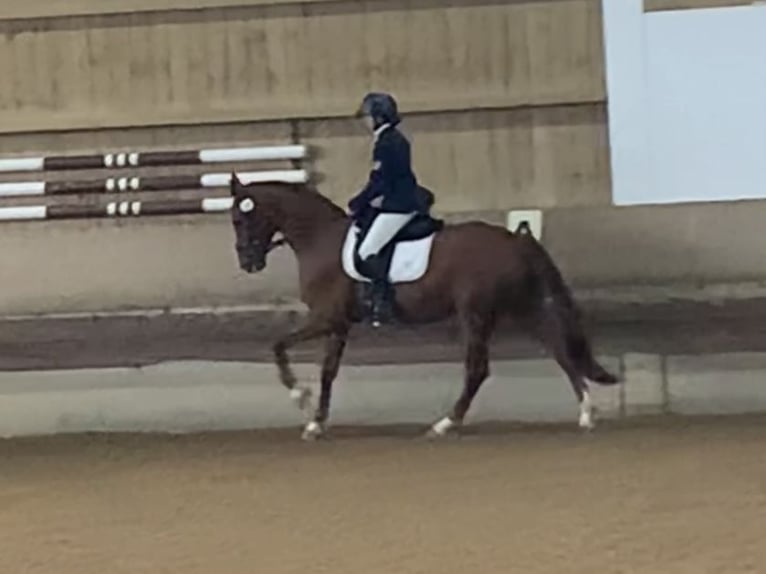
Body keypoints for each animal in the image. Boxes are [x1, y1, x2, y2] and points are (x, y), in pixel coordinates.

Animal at [231, 178, 620, 444]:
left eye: (240, 219)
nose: (248, 263)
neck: (319, 238)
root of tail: (516, 239)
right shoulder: (339, 325)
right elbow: (328, 372)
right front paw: (316, 423)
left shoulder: (326, 318)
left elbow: (278, 346)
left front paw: (298, 395)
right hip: (519, 308)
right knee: (560, 350)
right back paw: (587, 414)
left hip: (477, 313)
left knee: (478, 369)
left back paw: (445, 424)